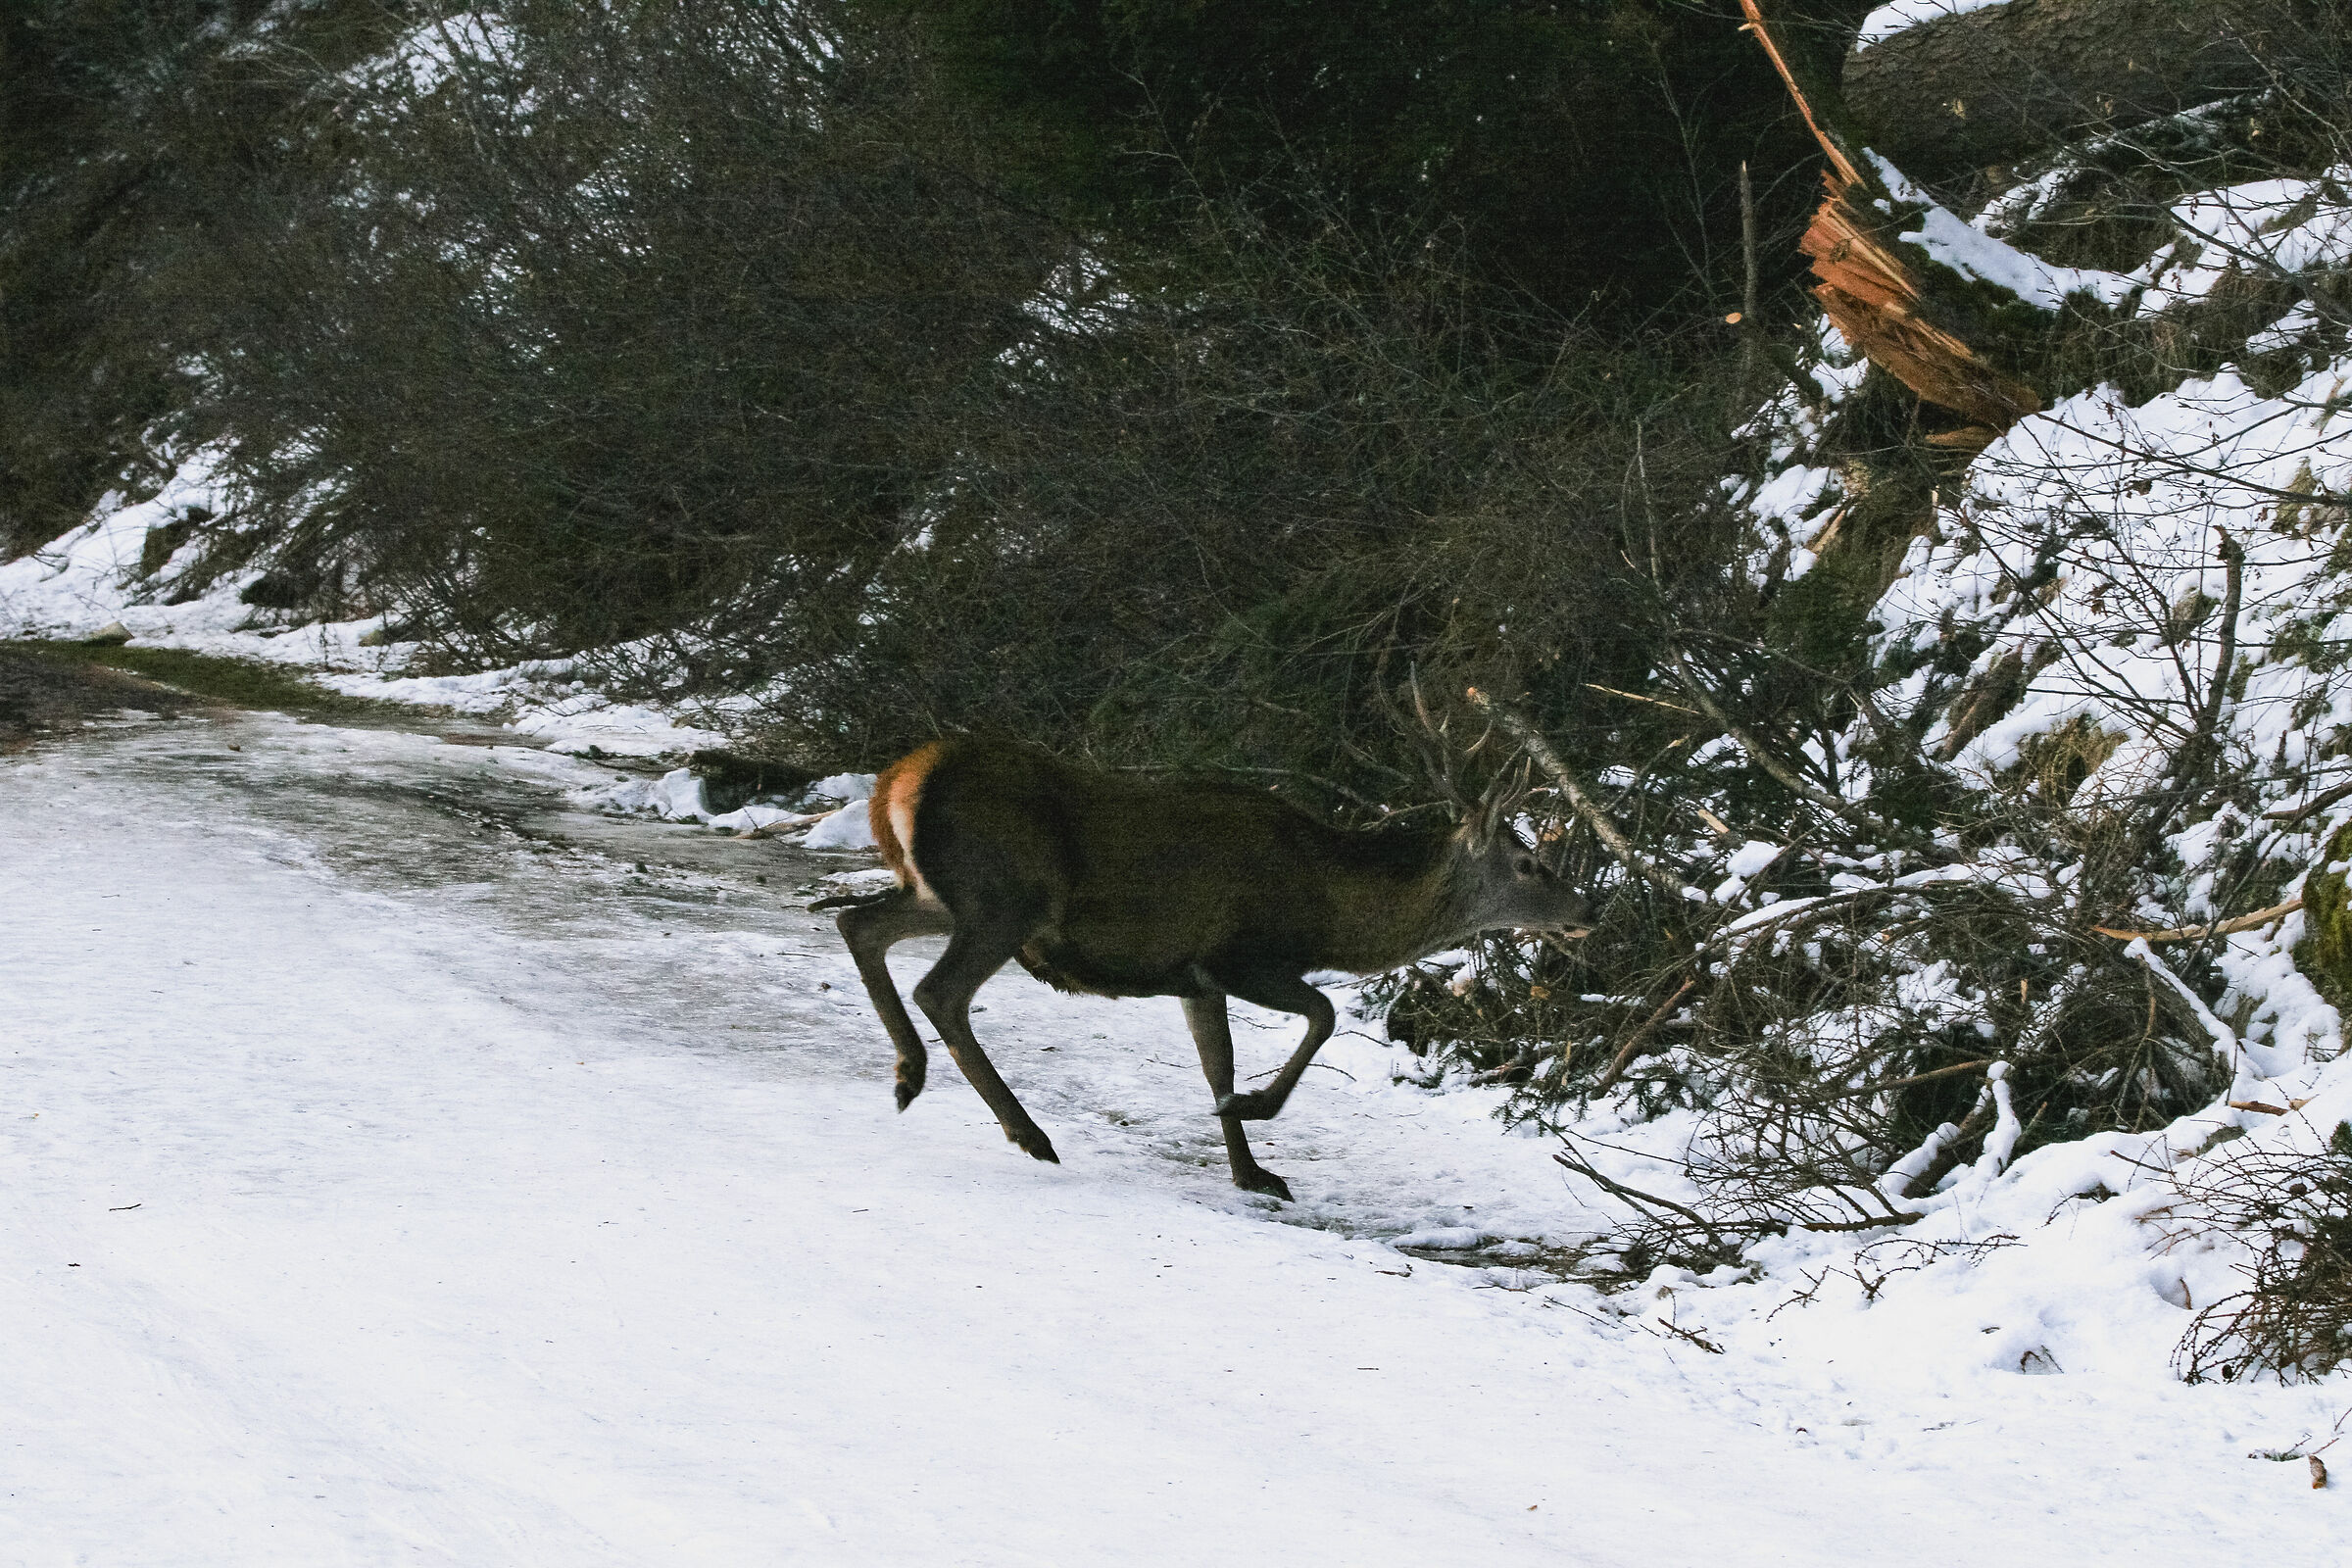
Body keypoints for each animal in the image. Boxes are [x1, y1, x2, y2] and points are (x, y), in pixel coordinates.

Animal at [814, 733, 1592, 1201]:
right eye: (1528, 864)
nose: (1585, 910)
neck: (1329, 909)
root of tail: (900, 781)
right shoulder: (1239, 955)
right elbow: (1323, 1012)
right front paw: (1252, 1108)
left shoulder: (1193, 977)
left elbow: (1216, 1061)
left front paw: (1251, 1171)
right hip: (1004, 898)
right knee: (939, 989)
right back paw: (1026, 1133)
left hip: (943, 896)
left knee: (858, 923)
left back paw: (910, 1072)